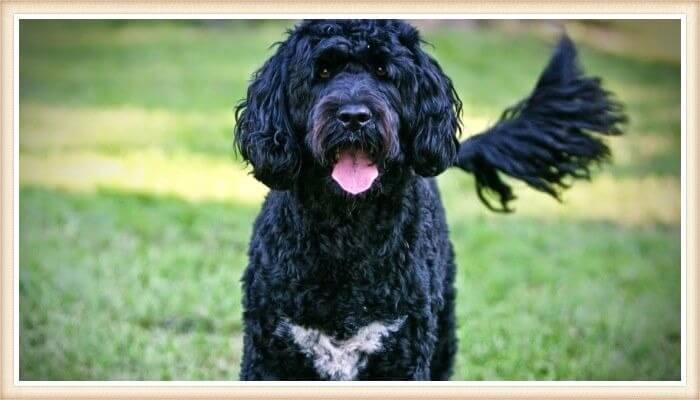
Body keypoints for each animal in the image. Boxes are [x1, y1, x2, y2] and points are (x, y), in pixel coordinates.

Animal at [234, 19, 624, 382]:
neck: (346, 231)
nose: (354, 117)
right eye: (323, 71)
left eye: (383, 71)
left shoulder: (404, 351)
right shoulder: (268, 353)